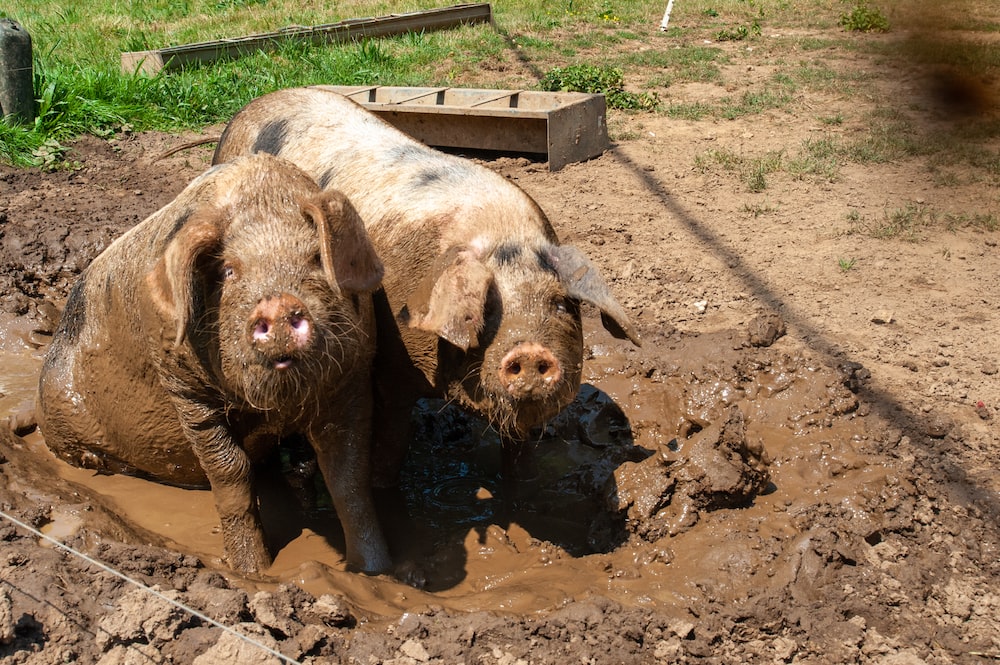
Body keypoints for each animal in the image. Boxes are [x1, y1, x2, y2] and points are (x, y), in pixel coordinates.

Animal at [38, 152, 390, 576]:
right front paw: (252, 572)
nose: (278, 304)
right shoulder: (183, 388)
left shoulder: (354, 377)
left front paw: (376, 572)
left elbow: (348, 477)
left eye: (315, 258)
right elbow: (229, 471)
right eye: (228, 270)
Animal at [215, 87, 644, 482]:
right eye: (488, 309)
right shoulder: (390, 368)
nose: (530, 351)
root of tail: (251, 106)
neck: (502, 234)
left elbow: (517, 451)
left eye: (559, 304)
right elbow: (389, 446)